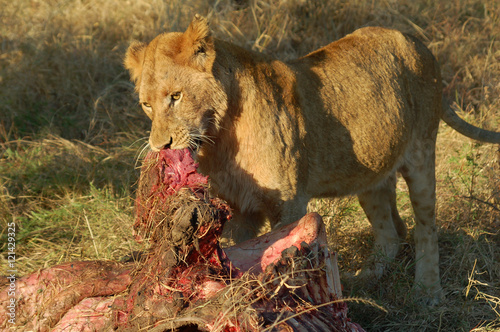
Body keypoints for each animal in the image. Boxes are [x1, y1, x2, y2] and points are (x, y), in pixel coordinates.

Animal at [125, 14, 500, 304]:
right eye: (146, 104)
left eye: (176, 96)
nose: (160, 146)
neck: (220, 139)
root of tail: (417, 41)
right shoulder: (239, 210)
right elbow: (241, 253)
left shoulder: (288, 203)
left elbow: (283, 251)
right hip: (371, 173)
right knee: (391, 232)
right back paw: (365, 277)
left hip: (422, 153)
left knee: (425, 227)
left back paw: (427, 292)